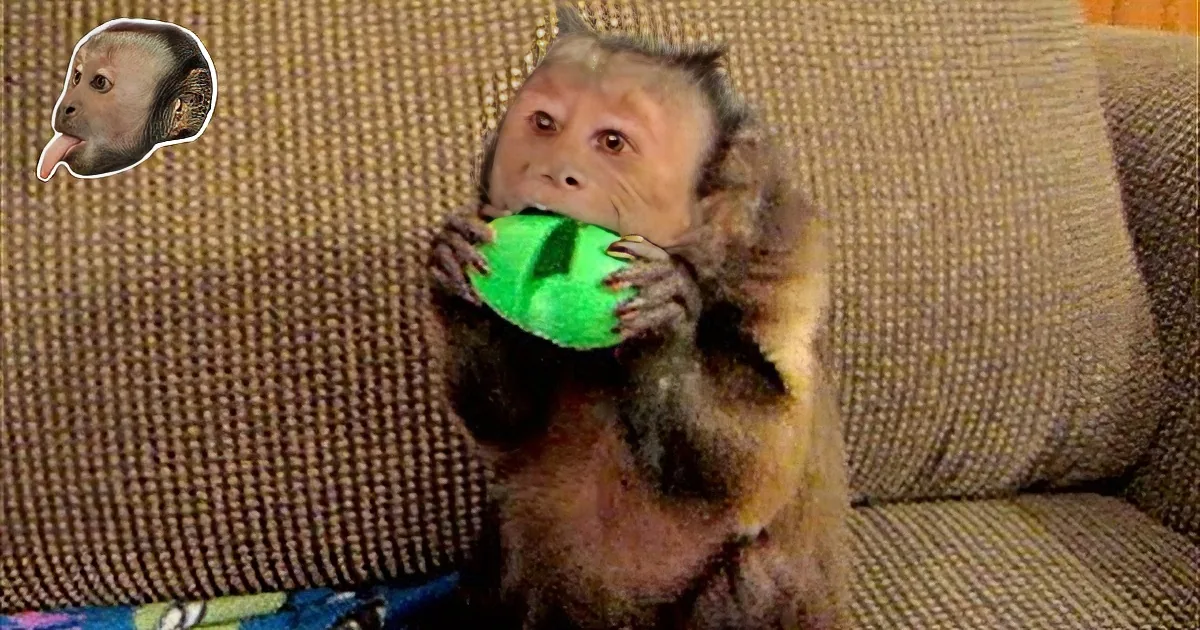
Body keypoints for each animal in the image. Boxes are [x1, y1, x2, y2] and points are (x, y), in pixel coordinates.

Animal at [424, 5, 848, 629]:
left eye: (611, 142)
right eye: (545, 124)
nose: (557, 172)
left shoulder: (779, 279)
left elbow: (755, 473)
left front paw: (663, 330)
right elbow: (506, 422)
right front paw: (459, 282)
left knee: (754, 573)